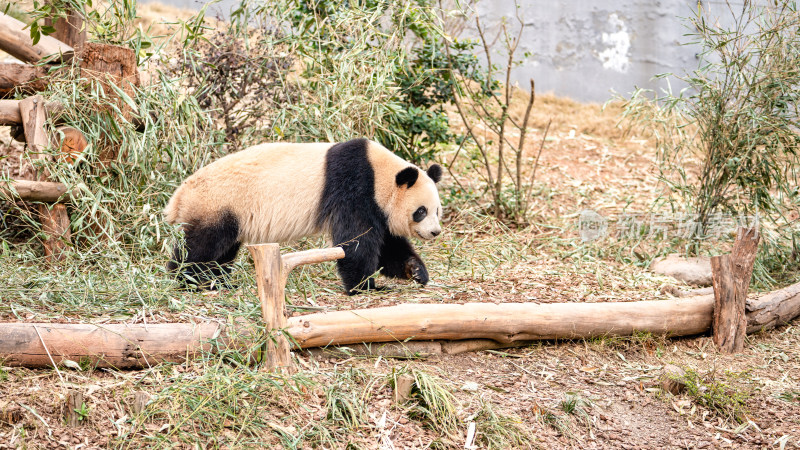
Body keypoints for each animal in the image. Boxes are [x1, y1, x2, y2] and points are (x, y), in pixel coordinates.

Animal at [163, 138, 444, 296]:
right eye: (421, 211)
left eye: (438, 210)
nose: (435, 232)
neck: (380, 173)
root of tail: (178, 197)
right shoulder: (355, 187)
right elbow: (357, 240)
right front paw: (365, 286)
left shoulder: (376, 205)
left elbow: (388, 244)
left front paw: (415, 271)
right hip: (219, 203)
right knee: (201, 247)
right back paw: (188, 280)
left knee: (223, 251)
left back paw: (217, 282)